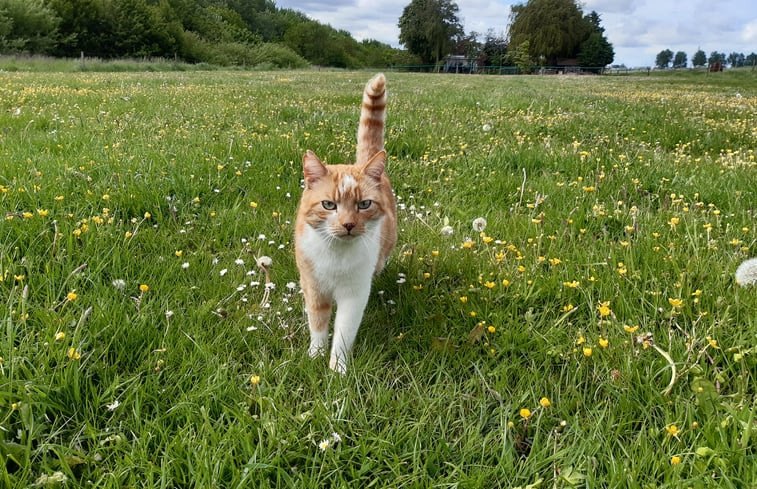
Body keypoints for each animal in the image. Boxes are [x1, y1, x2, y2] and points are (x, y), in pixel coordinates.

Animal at [294, 72, 396, 372]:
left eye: (364, 205)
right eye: (329, 205)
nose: (349, 225)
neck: (336, 255)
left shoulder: (354, 295)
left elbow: (343, 332)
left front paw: (337, 370)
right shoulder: (314, 287)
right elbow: (317, 323)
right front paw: (315, 356)